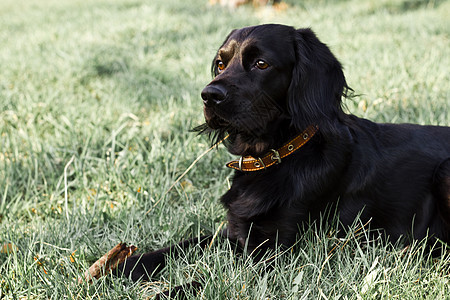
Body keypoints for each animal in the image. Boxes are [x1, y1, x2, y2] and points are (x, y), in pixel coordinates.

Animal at [120, 22, 450, 286]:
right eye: (220, 64)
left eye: (261, 63)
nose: (209, 95)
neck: (276, 158)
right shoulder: (236, 232)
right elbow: (185, 244)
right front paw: (126, 264)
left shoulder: (278, 253)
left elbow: (206, 281)